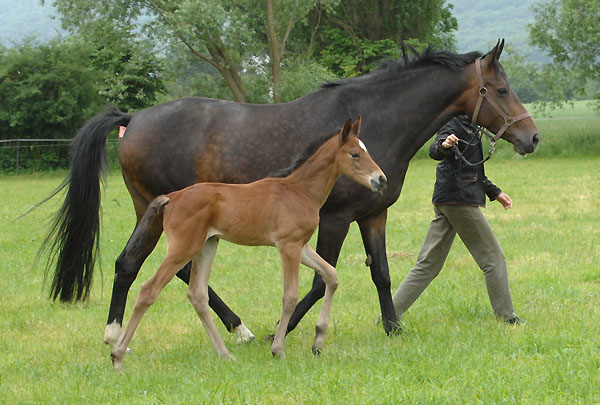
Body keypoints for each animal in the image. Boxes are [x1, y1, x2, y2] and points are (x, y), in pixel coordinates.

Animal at [110, 116, 386, 366]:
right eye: (354, 154)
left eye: (366, 150)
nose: (381, 179)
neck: (299, 191)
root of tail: (172, 197)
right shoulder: (288, 246)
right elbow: (290, 296)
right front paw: (278, 349)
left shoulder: (302, 246)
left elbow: (331, 275)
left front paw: (318, 341)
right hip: (183, 248)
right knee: (149, 290)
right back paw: (117, 355)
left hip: (207, 246)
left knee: (197, 295)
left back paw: (225, 354)